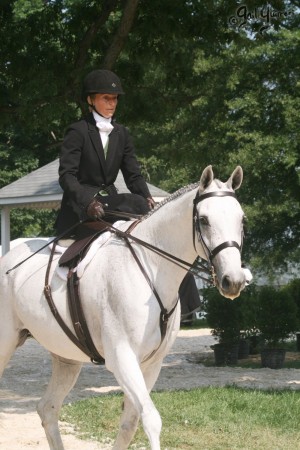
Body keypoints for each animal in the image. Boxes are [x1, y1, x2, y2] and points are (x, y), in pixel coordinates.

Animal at [0, 166, 247, 450]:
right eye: (204, 220)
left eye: (242, 220)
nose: (233, 280)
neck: (150, 265)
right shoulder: (122, 358)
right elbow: (151, 419)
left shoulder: (151, 364)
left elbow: (130, 422)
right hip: (6, 343)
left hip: (66, 358)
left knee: (47, 408)